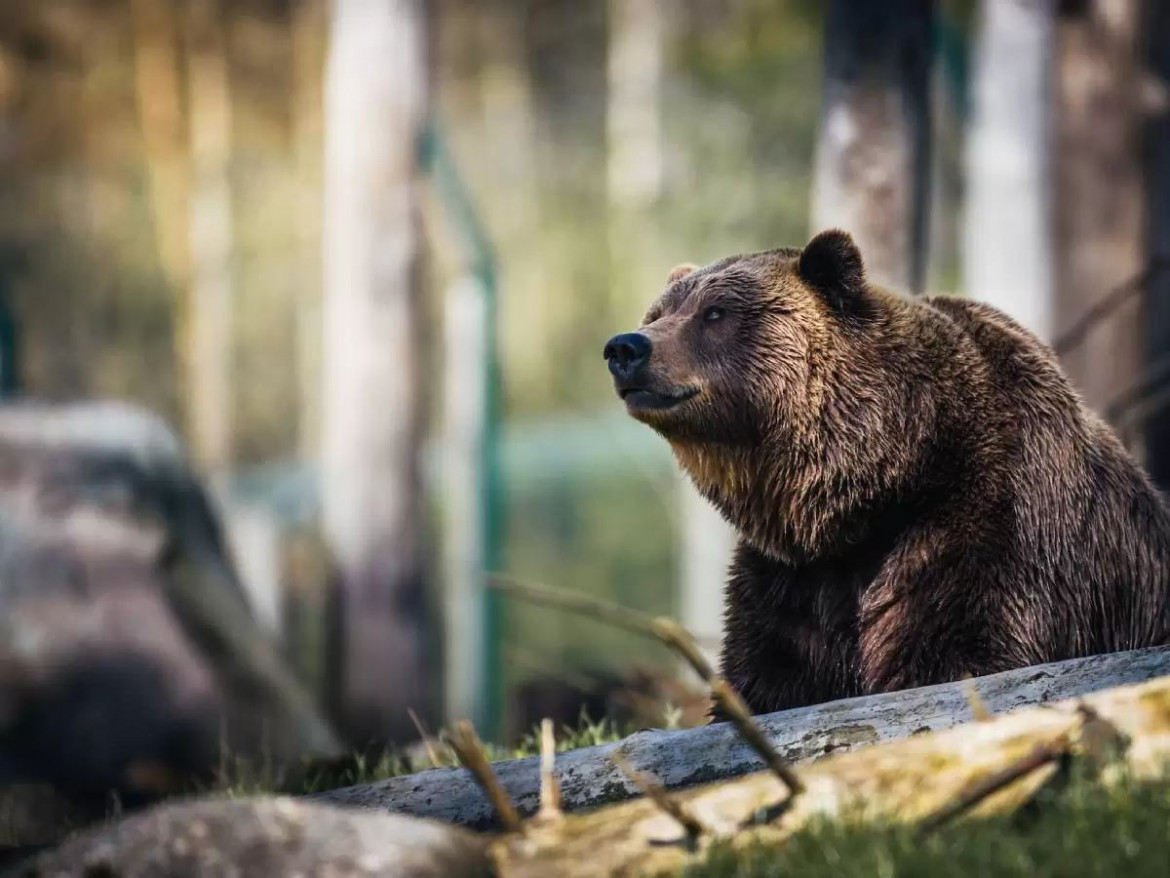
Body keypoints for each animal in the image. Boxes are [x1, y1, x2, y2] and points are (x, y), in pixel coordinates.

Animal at [603, 230, 1170, 716]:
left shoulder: (990, 522)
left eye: (715, 312)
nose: (626, 347)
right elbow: (767, 676)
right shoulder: (794, 579)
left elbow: (960, 650)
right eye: (658, 311)